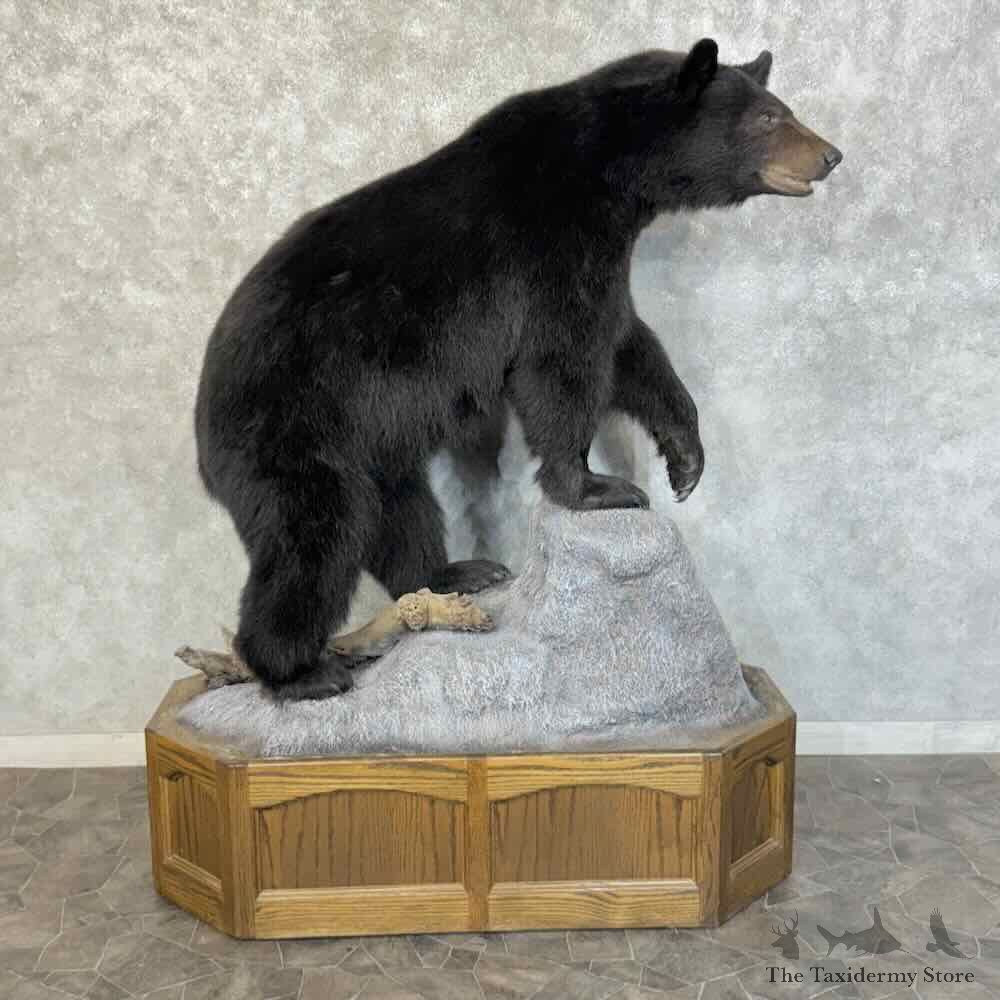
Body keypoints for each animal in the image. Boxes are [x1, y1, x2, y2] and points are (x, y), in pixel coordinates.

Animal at [194, 39, 842, 701]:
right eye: (768, 117)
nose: (830, 155)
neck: (607, 168)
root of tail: (203, 423)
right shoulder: (548, 245)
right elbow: (562, 361)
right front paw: (597, 486)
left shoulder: (600, 253)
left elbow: (628, 346)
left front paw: (685, 463)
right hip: (295, 423)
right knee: (313, 539)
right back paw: (301, 671)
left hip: (370, 438)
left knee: (398, 510)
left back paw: (455, 573)